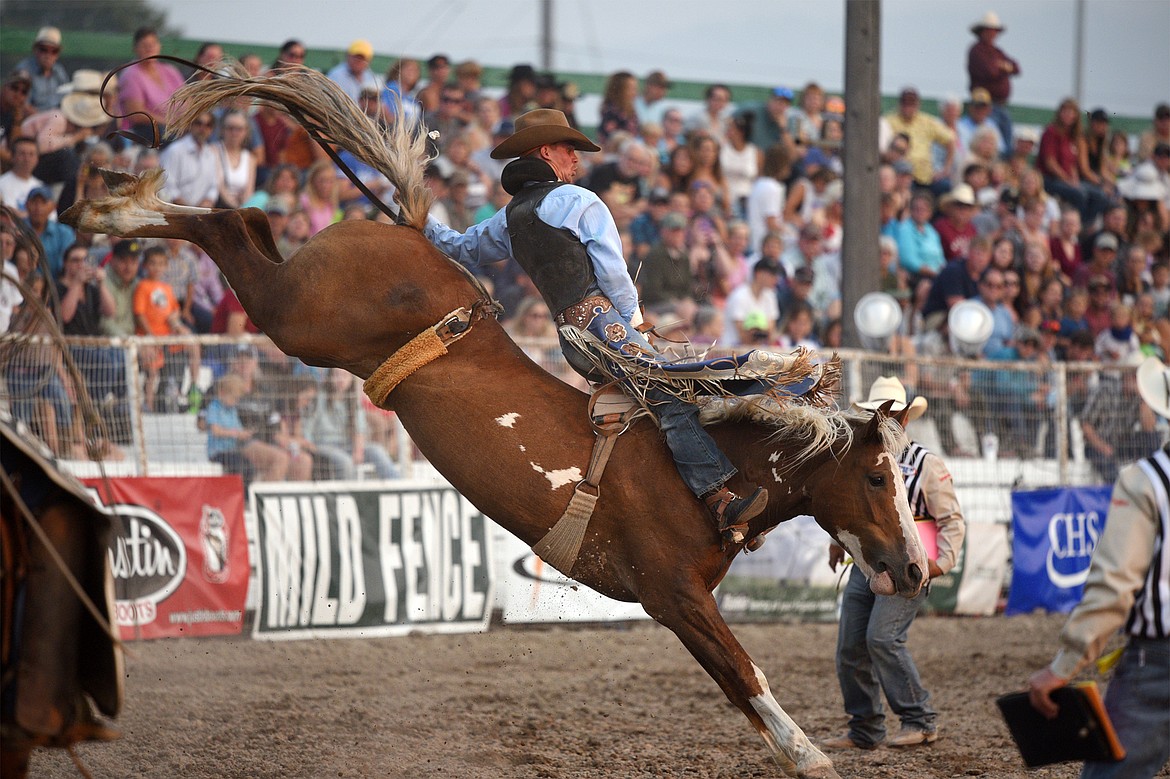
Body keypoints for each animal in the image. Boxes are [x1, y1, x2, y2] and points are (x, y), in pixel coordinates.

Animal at [61, 66, 921, 776]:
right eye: (880, 477)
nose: (916, 570)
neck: (709, 470)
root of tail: (402, 231)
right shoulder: (674, 595)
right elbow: (745, 673)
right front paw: (809, 753)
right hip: (296, 316)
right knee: (228, 226)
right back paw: (108, 211)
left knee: (244, 219)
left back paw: (106, 202)